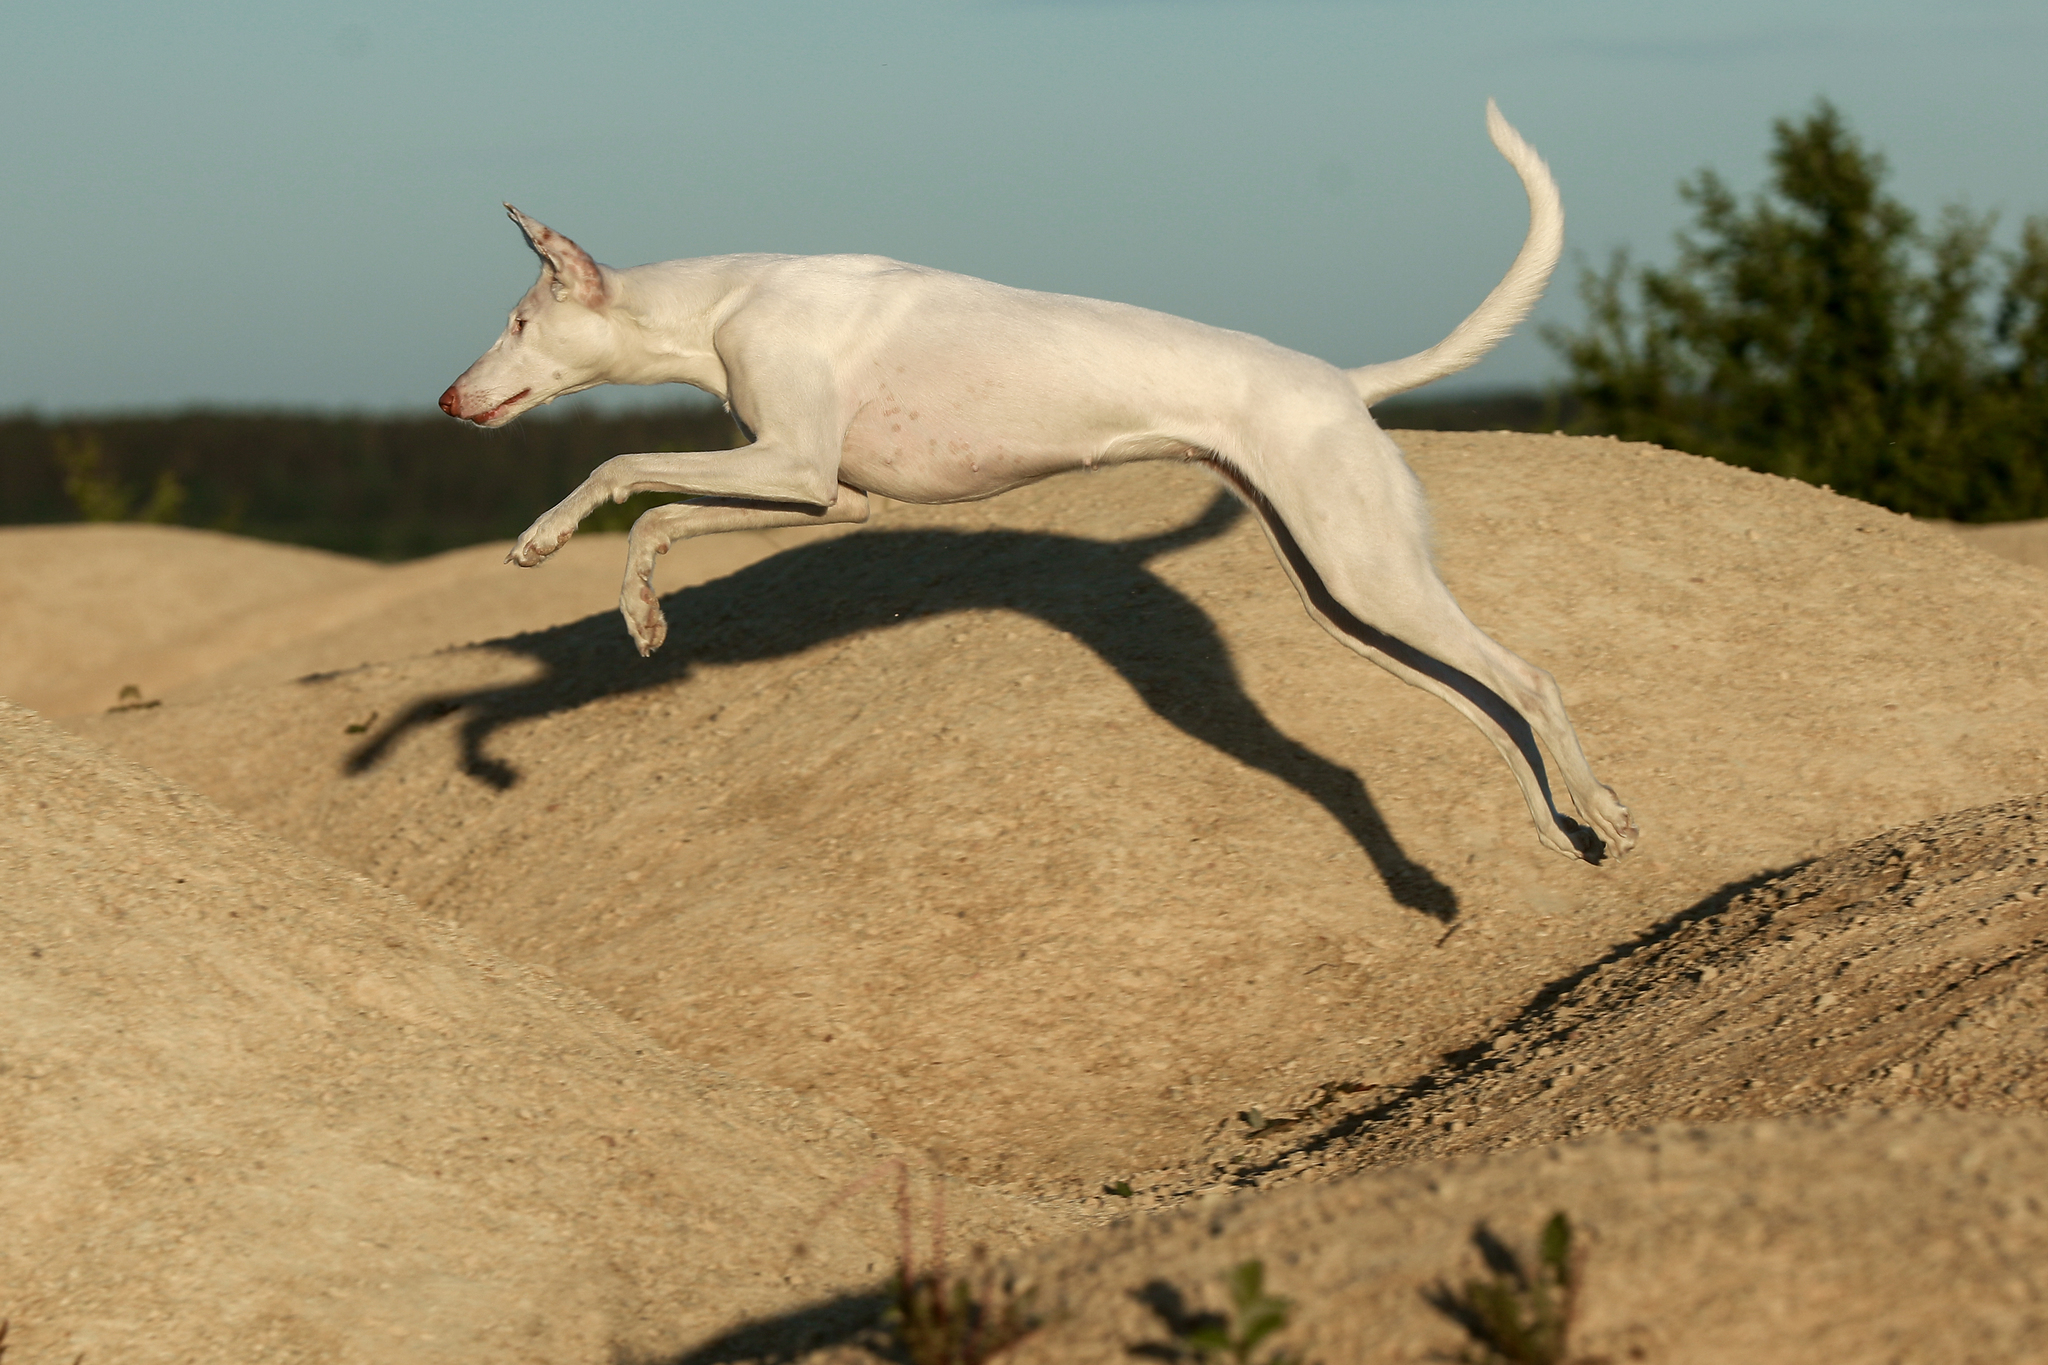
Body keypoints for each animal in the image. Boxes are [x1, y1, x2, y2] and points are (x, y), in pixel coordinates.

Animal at [440, 104, 1638, 863]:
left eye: (517, 322)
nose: (449, 401)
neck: (728, 300)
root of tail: (1344, 382)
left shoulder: (793, 463)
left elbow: (617, 466)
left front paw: (541, 540)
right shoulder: (825, 492)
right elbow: (666, 520)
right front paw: (641, 612)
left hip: (1368, 573)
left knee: (1529, 679)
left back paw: (1603, 809)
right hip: (1344, 599)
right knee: (1488, 707)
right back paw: (1557, 828)